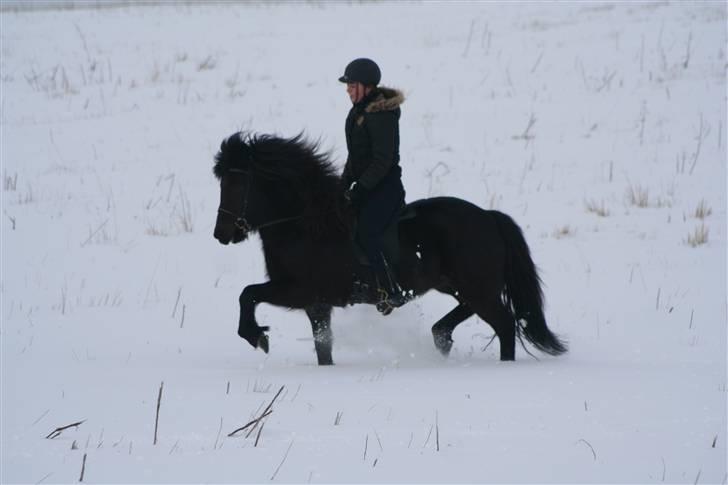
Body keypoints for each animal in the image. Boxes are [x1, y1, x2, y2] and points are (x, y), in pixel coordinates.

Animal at [212, 130, 568, 364]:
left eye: (236, 183)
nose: (221, 234)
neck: (306, 224)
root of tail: (489, 217)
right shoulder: (317, 305)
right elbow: (323, 347)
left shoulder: (300, 291)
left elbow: (248, 294)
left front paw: (257, 336)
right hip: (458, 286)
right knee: (466, 318)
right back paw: (442, 338)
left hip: (476, 287)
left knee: (505, 324)